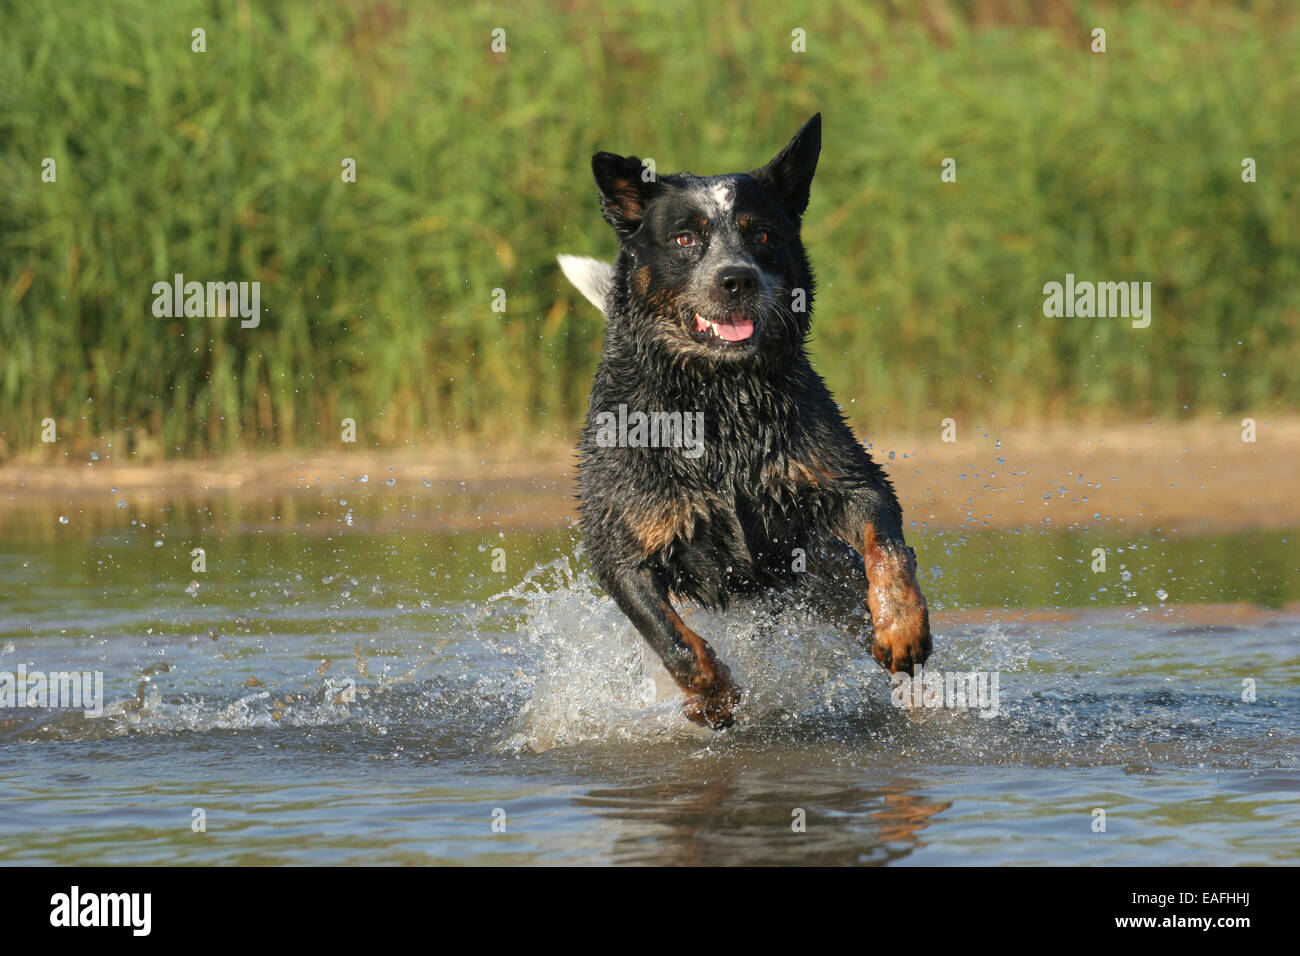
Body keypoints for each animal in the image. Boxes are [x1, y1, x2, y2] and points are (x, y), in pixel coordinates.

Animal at [559, 113, 935, 723]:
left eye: (760, 234)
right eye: (685, 238)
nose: (737, 278)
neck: (718, 401)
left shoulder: (851, 482)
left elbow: (888, 549)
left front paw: (901, 627)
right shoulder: (624, 546)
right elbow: (670, 637)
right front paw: (712, 697)